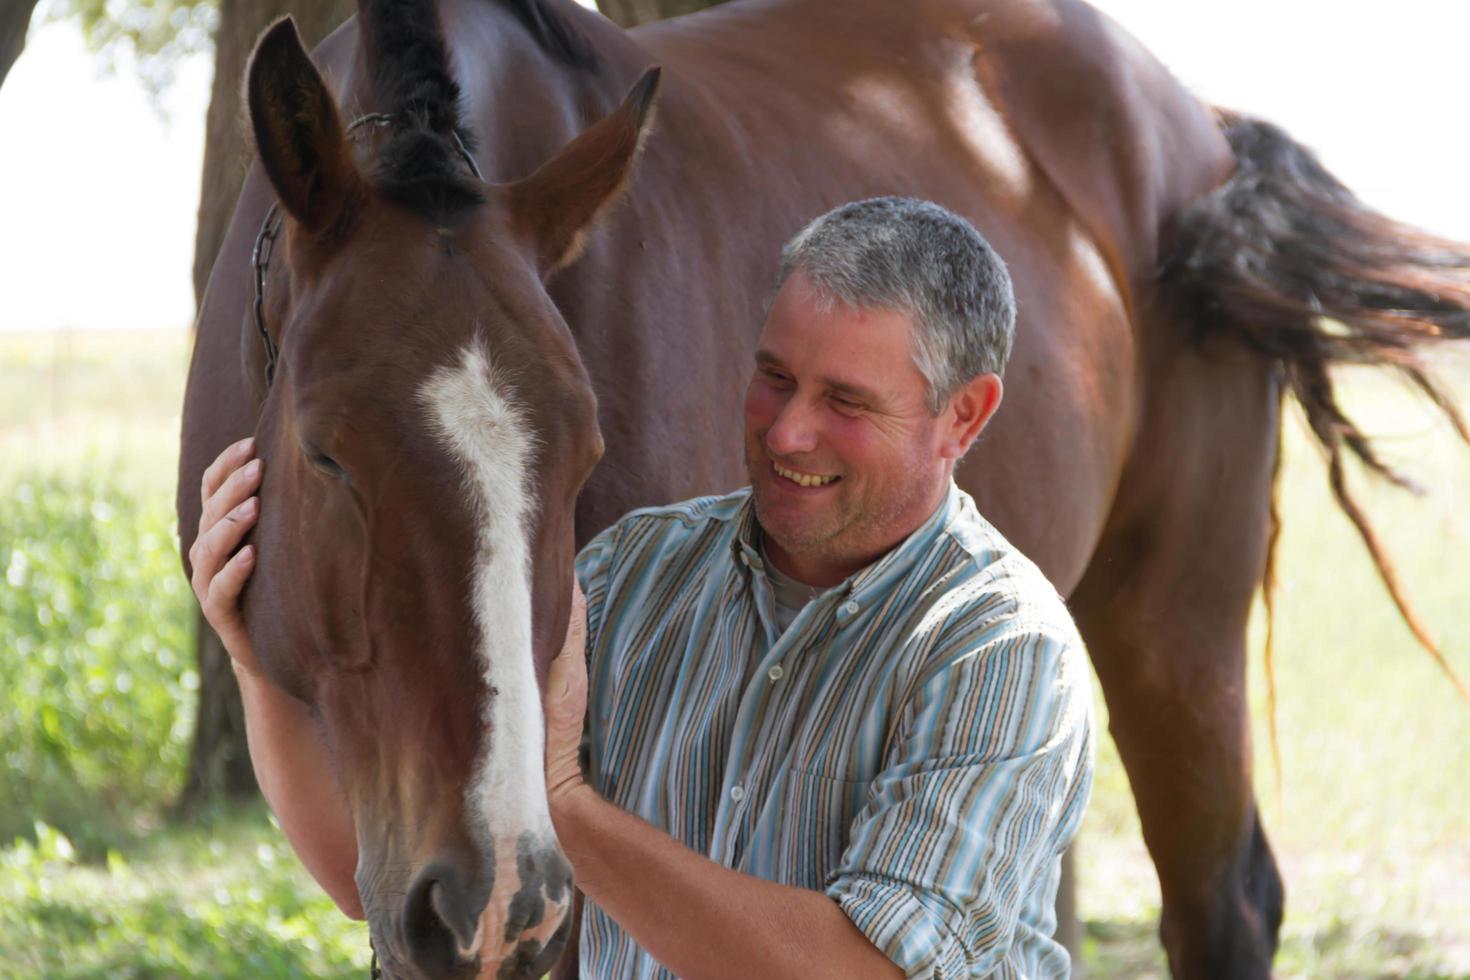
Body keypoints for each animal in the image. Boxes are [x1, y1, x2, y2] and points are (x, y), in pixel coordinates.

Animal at [177, 0, 1464, 975]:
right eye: (327, 449)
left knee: (1223, 900)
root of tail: (1201, 125)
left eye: (586, 453)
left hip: (1177, 618)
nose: (496, 899)